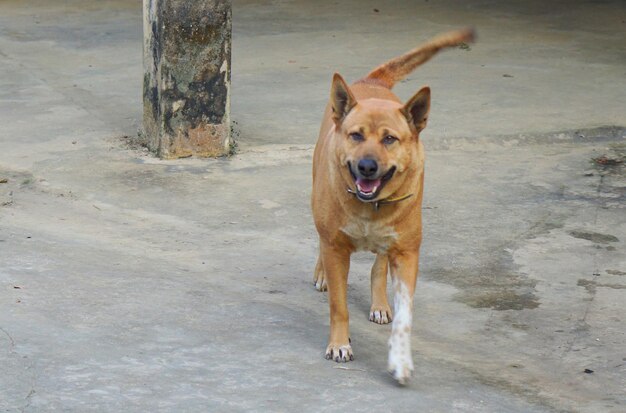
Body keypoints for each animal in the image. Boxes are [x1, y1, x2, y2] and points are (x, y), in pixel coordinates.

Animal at [312, 29, 472, 384]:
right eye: (356, 136)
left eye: (389, 139)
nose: (367, 166)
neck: (371, 205)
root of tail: (373, 81)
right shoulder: (336, 247)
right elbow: (339, 305)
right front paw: (339, 345)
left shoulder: (408, 253)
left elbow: (405, 315)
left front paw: (400, 359)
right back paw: (321, 274)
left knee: (379, 265)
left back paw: (380, 301)